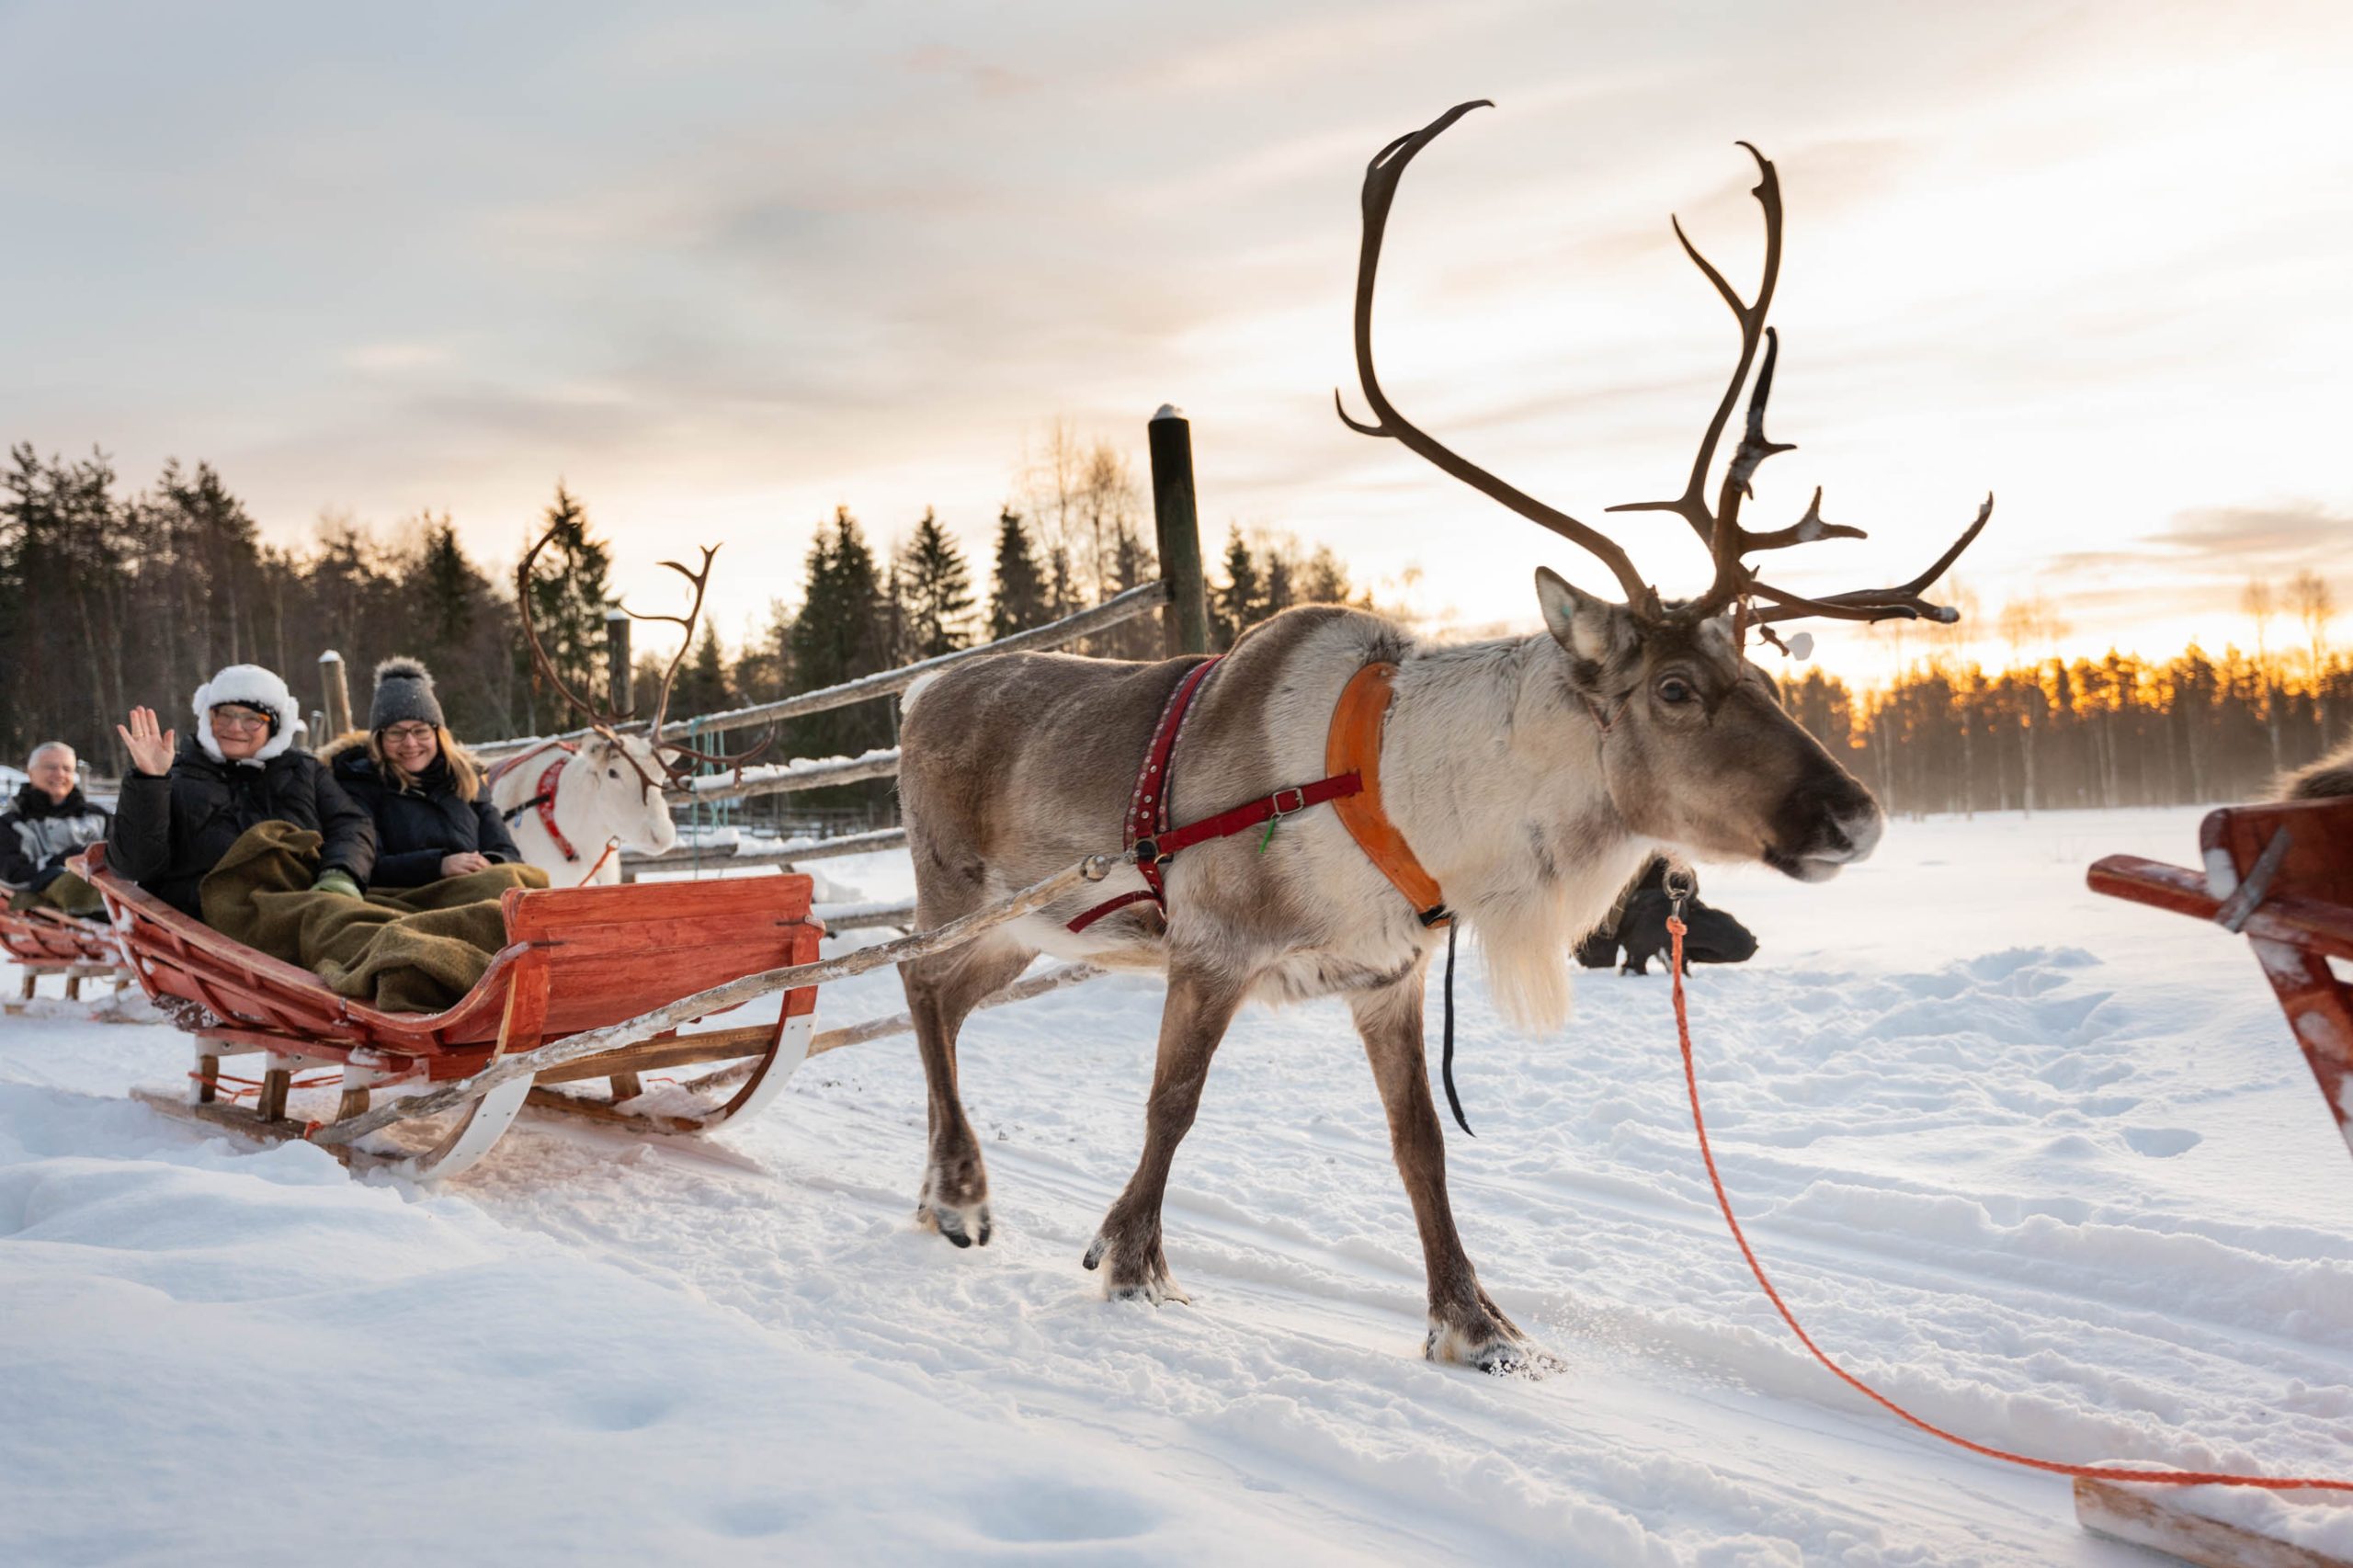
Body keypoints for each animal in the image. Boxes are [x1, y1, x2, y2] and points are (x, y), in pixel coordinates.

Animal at [892, 101, 1991, 1371]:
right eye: (1673, 686)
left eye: (1758, 667)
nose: (1854, 814)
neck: (1402, 796)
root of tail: (920, 697)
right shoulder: (1211, 945)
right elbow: (1173, 1104)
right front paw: (1132, 1260)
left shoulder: (1389, 977)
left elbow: (1420, 1143)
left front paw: (1476, 1322)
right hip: (968, 891)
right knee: (916, 975)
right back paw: (961, 1194)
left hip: (1040, 927)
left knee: (936, 992)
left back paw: (942, 1189)